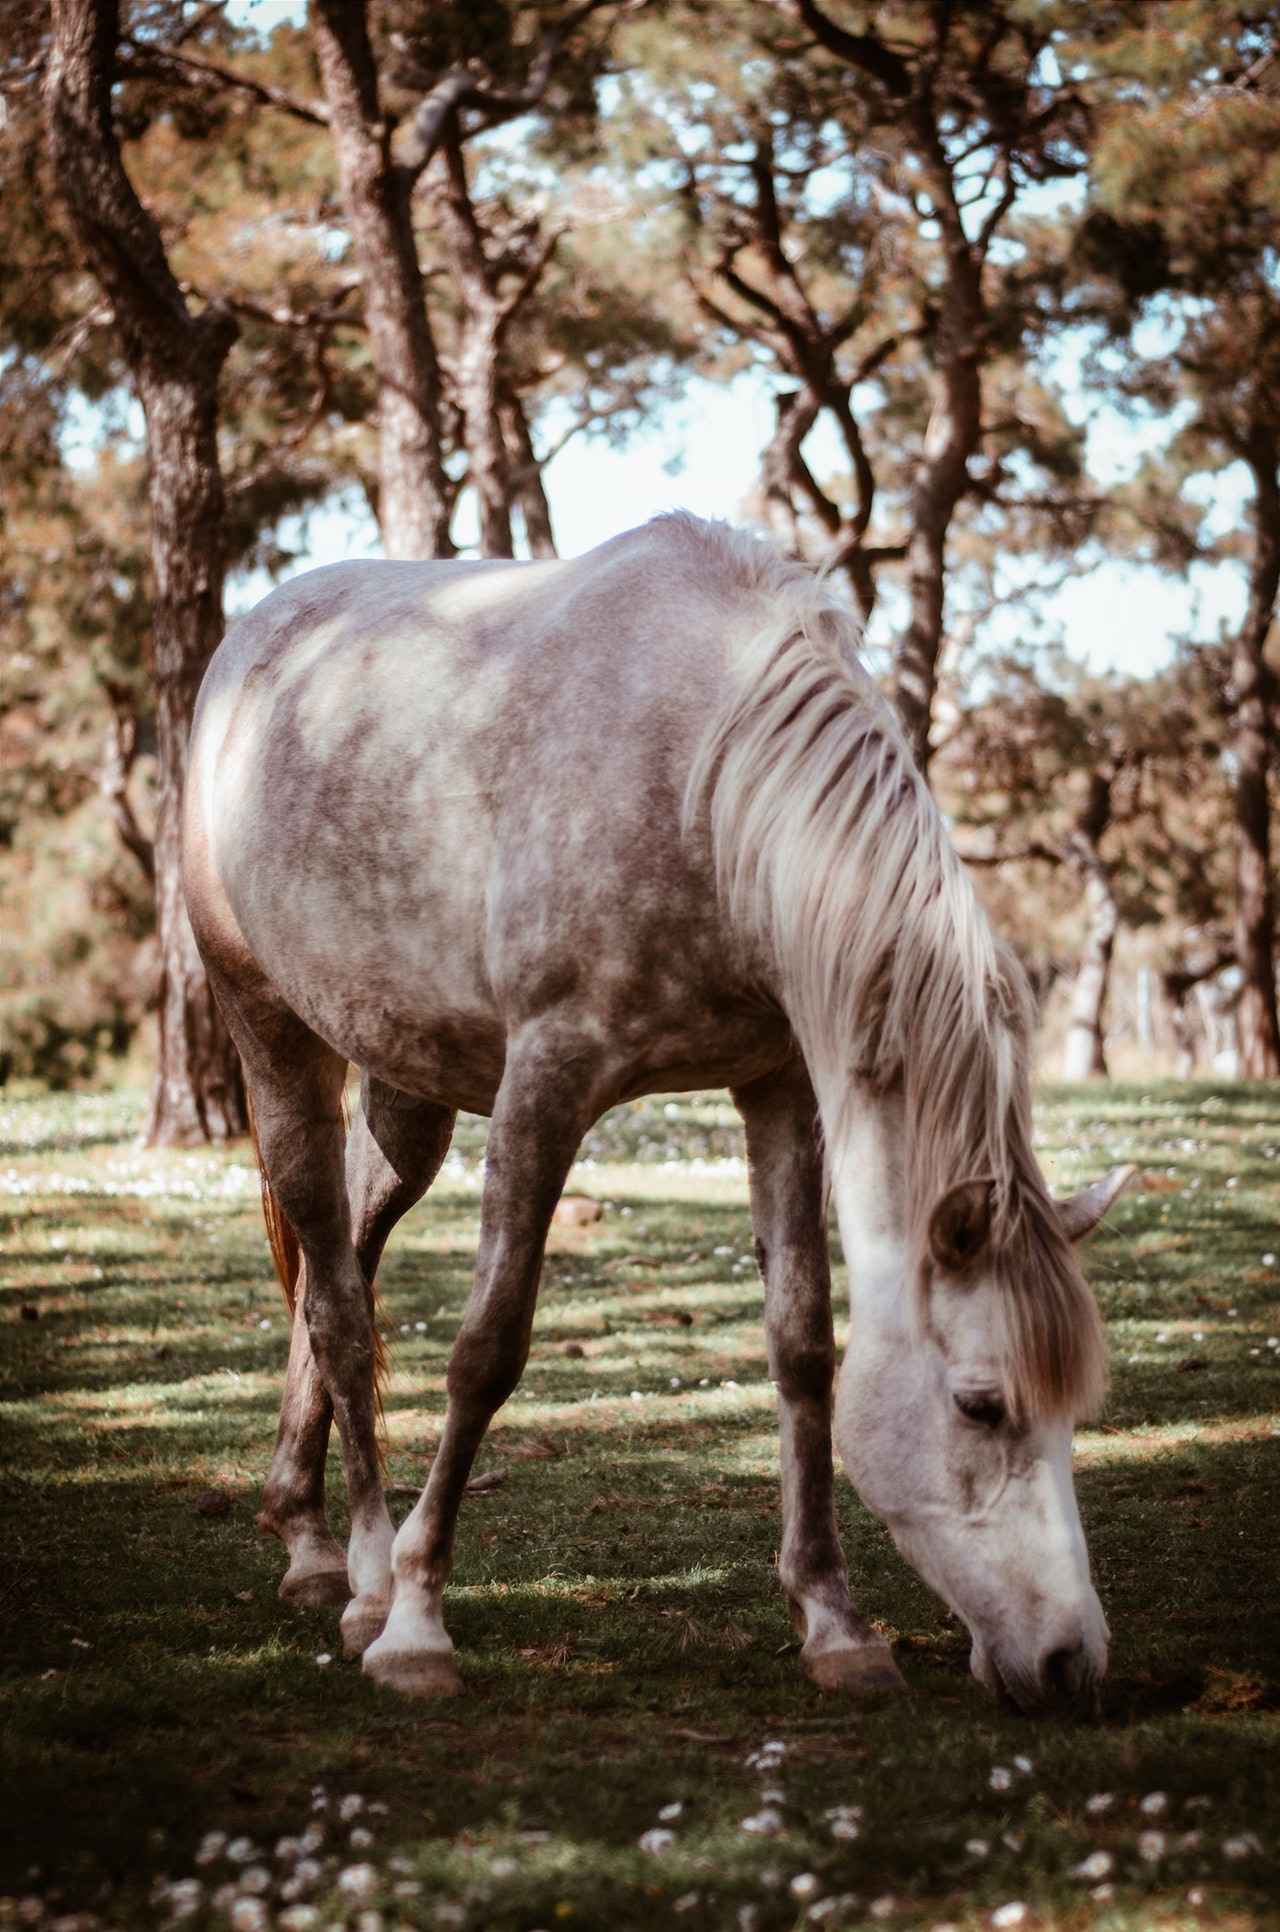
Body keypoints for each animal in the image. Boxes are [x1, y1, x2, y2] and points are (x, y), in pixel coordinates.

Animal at [182, 513, 1135, 1707]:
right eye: (979, 1404)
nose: (1071, 1663)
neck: (707, 786)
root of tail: (247, 644)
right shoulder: (547, 1082)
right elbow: (486, 1350)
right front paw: (415, 1623)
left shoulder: (780, 1090)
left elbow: (802, 1347)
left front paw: (834, 1621)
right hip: (274, 1039)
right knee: (342, 1311)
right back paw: (355, 1572)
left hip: (408, 1092)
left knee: (338, 1260)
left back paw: (303, 1533)